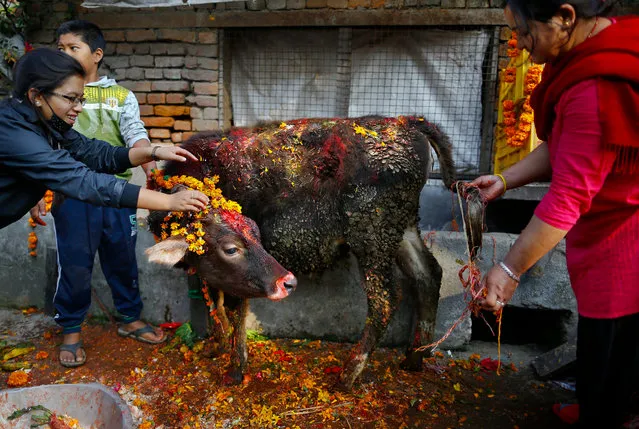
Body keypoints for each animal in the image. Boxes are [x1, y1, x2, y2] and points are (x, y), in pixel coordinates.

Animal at [146, 115, 480, 390]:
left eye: (237, 245)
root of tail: (407, 122)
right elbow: (213, 302)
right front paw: (215, 346)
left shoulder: (242, 276)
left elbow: (233, 309)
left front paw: (234, 370)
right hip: (403, 228)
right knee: (428, 275)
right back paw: (413, 359)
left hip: (372, 237)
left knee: (385, 299)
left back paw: (347, 376)